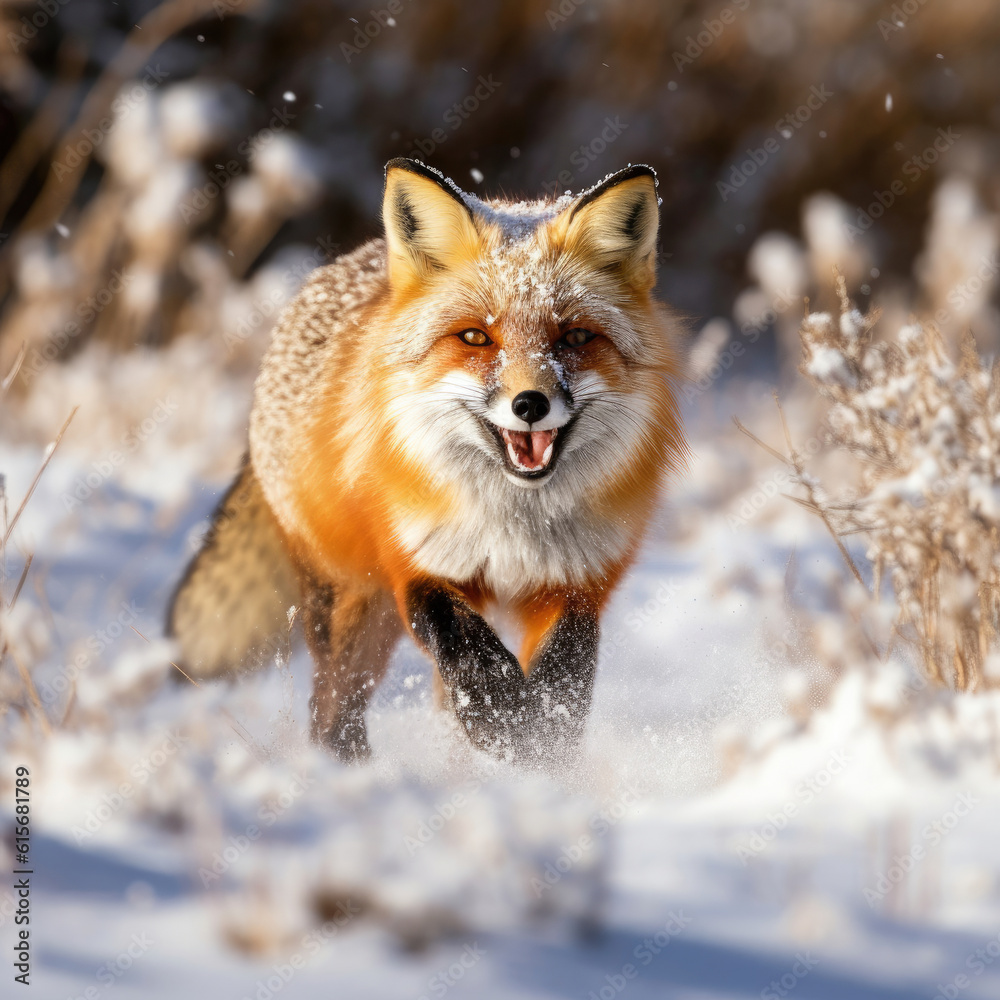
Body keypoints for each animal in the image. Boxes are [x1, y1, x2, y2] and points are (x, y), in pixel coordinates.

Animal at [168, 158, 686, 764]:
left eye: (576, 336)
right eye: (476, 337)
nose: (529, 404)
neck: (514, 524)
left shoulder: (576, 580)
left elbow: (564, 676)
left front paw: (540, 748)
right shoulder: (418, 564)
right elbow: (463, 645)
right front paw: (502, 718)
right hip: (354, 602)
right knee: (332, 705)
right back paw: (348, 770)